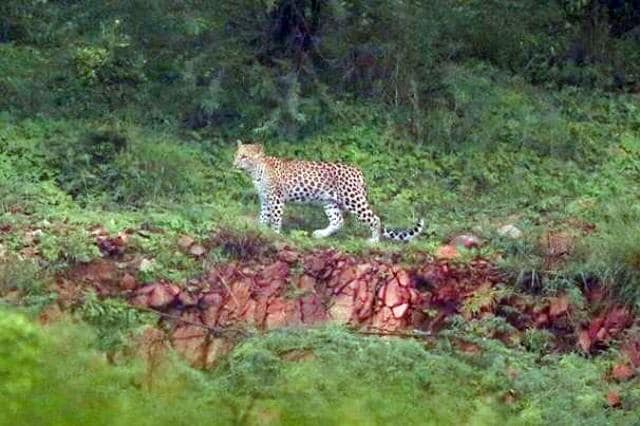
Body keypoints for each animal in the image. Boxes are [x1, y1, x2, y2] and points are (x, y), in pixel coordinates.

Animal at [233, 141, 424, 243]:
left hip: (353, 199)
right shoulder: (266, 200)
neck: (255, 172)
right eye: (236, 155)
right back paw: (320, 234)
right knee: (338, 221)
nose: (234, 164)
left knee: (374, 218)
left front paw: (275, 234)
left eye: (244, 157)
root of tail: (358, 171)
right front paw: (260, 231)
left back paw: (374, 241)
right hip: (329, 202)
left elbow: (275, 219)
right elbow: (263, 217)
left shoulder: (276, 199)